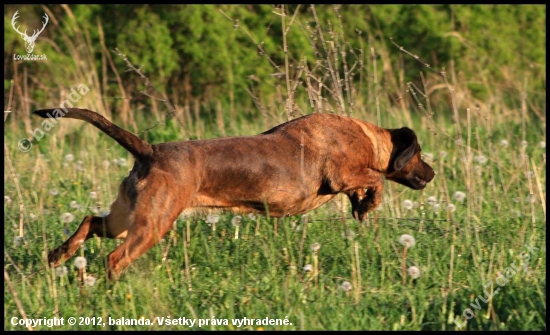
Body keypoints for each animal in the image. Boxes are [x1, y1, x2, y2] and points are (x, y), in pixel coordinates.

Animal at [33, 109, 436, 280]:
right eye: (418, 153)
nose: (432, 173)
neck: (368, 136)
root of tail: (150, 151)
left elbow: (367, 186)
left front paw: (362, 207)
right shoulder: (341, 174)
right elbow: (376, 179)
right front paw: (370, 201)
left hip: (125, 218)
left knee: (89, 220)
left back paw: (59, 254)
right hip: (151, 225)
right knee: (115, 259)